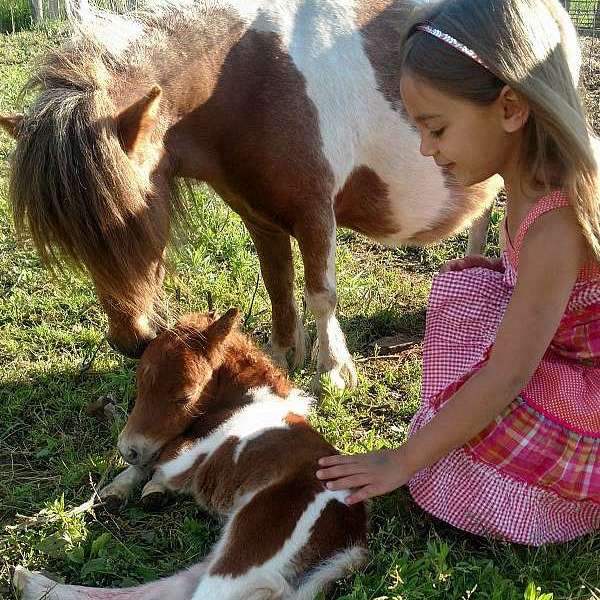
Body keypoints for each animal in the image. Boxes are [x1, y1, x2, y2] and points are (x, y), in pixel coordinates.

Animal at [0, 0, 576, 386]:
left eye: (132, 223)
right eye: (73, 242)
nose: (132, 341)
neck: (246, 81)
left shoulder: (315, 214)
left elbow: (320, 294)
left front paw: (332, 372)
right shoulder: (261, 219)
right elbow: (278, 286)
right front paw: (281, 356)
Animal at [14, 310, 368, 600]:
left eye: (184, 396)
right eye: (139, 380)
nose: (127, 448)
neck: (252, 401)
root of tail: (351, 537)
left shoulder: (185, 457)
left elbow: (158, 459)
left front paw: (141, 486)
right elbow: (145, 464)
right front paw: (118, 490)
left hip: (247, 551)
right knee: (171, 587)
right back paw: (28, 580)